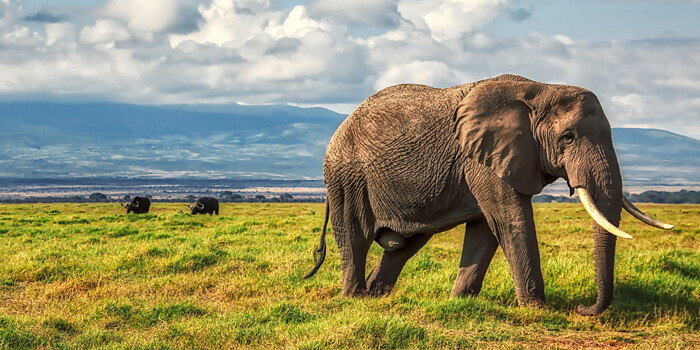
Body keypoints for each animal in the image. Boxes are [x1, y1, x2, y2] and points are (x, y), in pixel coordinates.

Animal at [304, 73, 672, 314]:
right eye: (567, 137)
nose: (583, 308)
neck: (539, 90)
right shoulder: (482, 158)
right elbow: (511, 221)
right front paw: (538, 310)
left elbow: (486, 230)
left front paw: (460, 302)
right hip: (347, 176)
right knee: (355, 237)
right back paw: (355, 299)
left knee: (405, 245)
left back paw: (377, 297)